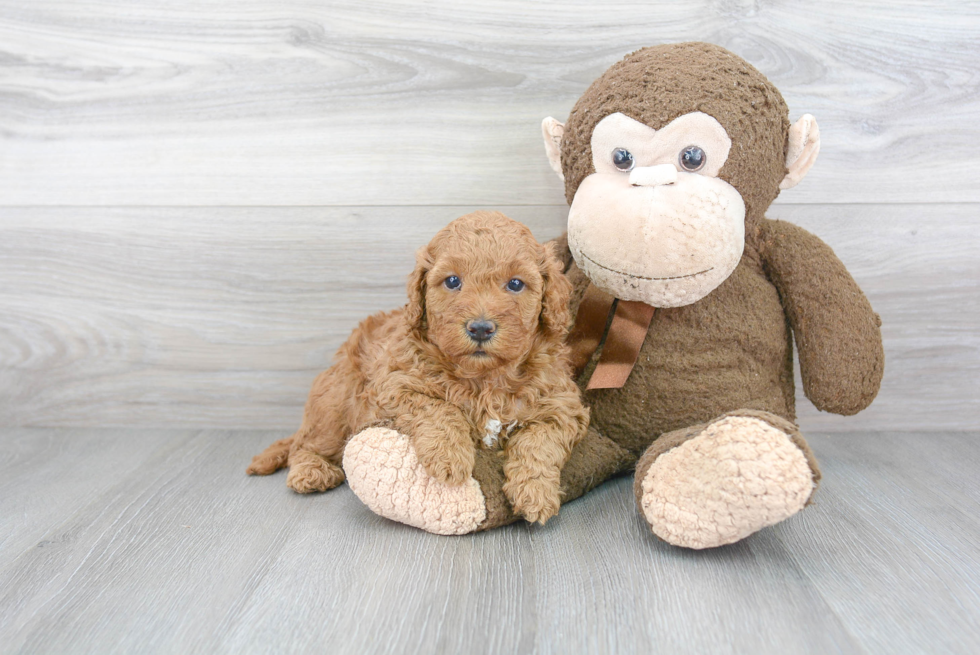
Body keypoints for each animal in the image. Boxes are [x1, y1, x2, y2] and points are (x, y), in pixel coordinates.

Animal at [251, 213, 588, 524]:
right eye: (452, 281)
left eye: (516, 284)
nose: (480, 328)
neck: (483, 377)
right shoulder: (394, 385)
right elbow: (439, 408)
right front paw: (450, 458)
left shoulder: (561, 404)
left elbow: (541, 441)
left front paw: (536, 493)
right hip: (334, 402)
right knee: (305, 444)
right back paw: (312, 471)